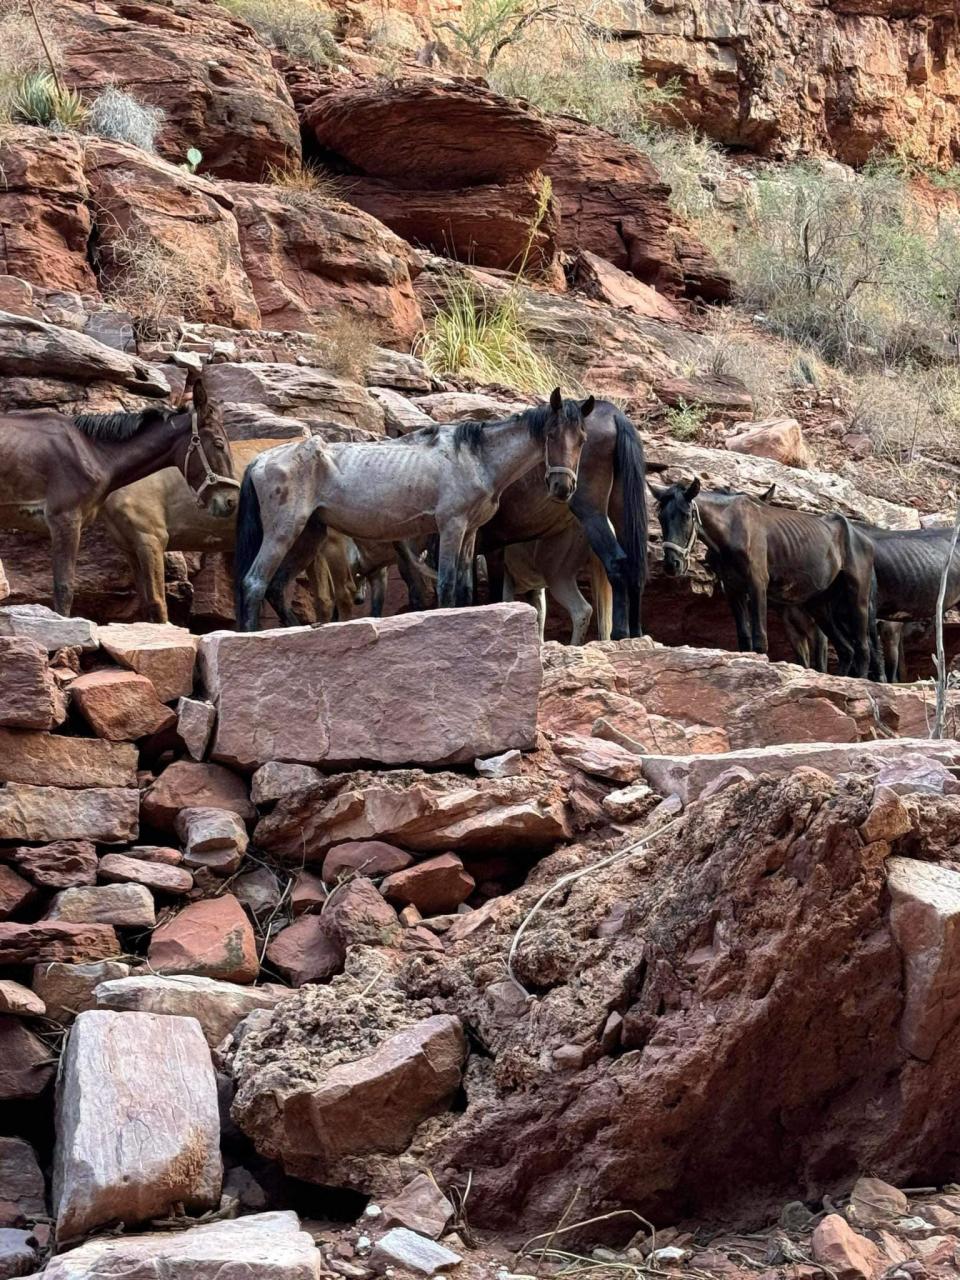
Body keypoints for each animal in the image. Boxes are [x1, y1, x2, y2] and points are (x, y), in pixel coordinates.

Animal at [235, 386, 593, 632]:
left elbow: (464, 587)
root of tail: (261, 459)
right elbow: (447, 584)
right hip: (284, 532)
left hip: (309, 535)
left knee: (275, 588)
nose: (563, 487)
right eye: (550, 434)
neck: (476, 458)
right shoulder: (451, 526)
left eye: (582, 439)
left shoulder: (469, 532)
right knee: (254, 583)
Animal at [655, 481, 880, 680]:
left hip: (857, 599)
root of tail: (865, 538)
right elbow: (744, 638)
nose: (672, 564)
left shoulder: (757, 585)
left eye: (686, 516)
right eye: (660, 517)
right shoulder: (733, 590)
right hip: (820, 605)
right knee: (846, 649)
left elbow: (760, 639)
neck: (733, 527)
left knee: (862, 648)